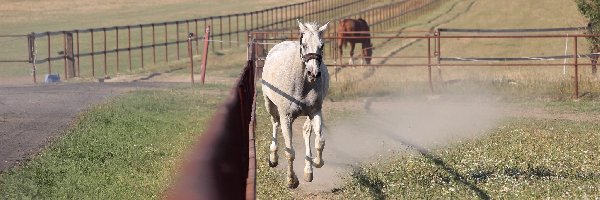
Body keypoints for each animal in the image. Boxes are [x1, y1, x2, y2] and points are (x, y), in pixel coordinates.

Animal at [262, 19, 330, 188]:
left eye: (321, 45)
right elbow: (290, 152)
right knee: (275, 123)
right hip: (269, 104)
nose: (314, 73)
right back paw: (273, 158)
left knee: (306, 131)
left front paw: (315, 163)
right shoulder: (286, 117)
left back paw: (308, 170)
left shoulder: (315, 111)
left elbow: (319, 141)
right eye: (304, 44)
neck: (301, 84)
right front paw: (291, 180)